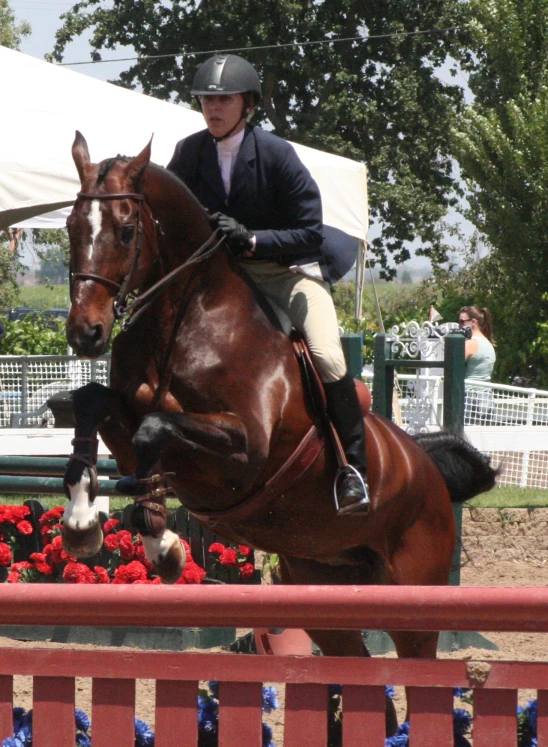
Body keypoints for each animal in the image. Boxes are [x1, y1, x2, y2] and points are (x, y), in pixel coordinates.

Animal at [63, 131, 496, 732]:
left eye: (126, 230)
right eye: (70, 227)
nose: (86, 332)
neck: (183, 319)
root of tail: (428, 468)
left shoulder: (245, 452)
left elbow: (154, 431)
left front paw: (161, 542)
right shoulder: (126, 412)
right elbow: (92, 406)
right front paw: (84, 520)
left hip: (415, 591)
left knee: (418, 669)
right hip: (321, 586)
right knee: (364, 673)